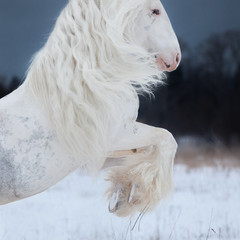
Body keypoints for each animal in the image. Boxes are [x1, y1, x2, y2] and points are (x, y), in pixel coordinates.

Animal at [0, 0, 180, 218]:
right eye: (155, 10)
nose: (176, 57)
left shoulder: (100, 153)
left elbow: (145, 152)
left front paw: (123, 196)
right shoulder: (118, 135)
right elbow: (167, 139)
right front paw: (136, 197)